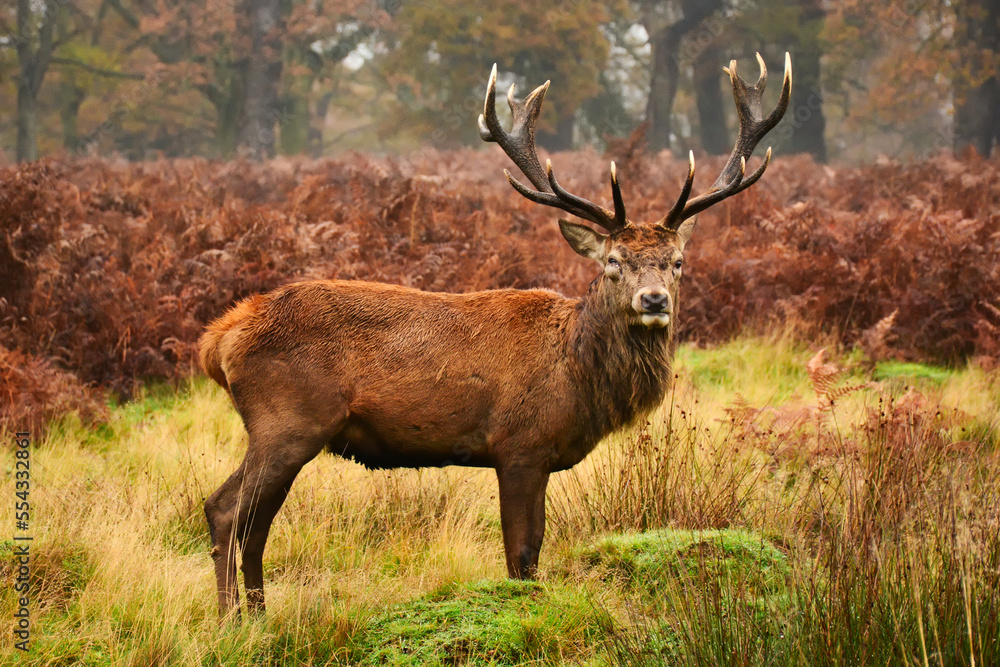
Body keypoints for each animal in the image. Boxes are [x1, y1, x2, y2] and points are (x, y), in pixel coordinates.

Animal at [199, 52, 791, 619]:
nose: (654, 300)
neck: (577, 372)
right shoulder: (518, 445)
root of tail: (218, 339)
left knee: (251, 524)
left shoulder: (541, 455)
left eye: (677, 262)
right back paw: (234, 621)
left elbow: (535, 550)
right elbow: (522, 555)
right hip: (285, 422)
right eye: (614, 262)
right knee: (226, 511)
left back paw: (258, 613)